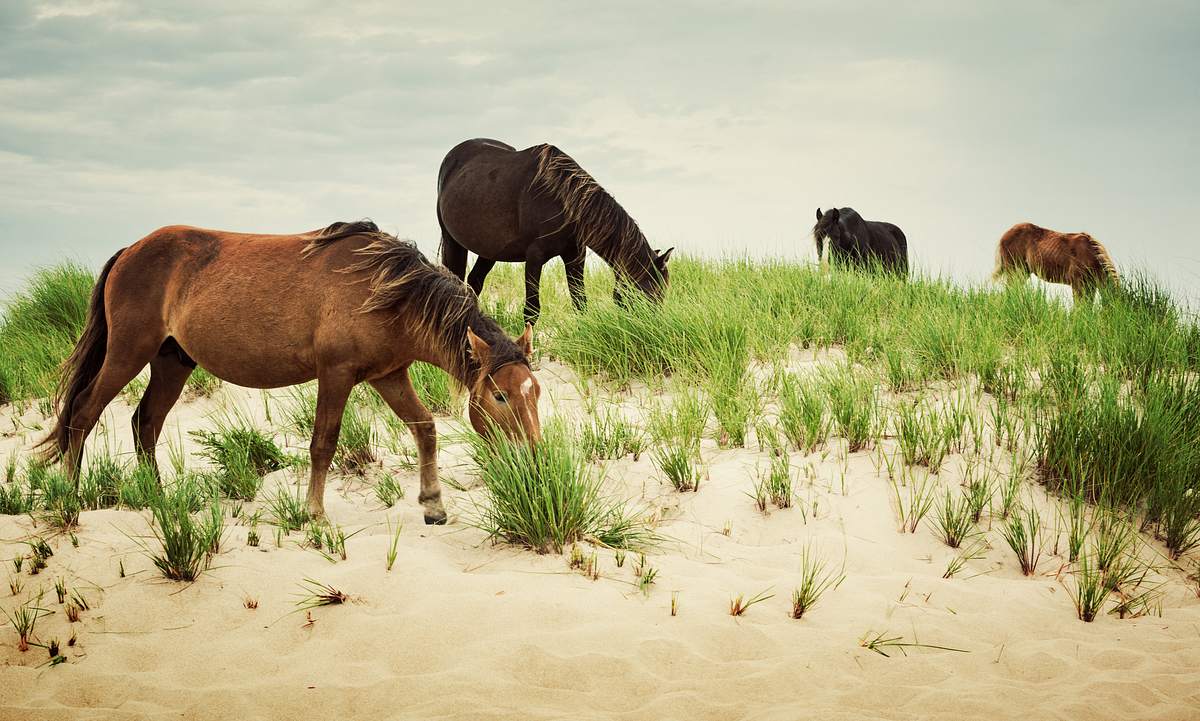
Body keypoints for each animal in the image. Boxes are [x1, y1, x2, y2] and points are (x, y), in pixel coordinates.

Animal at [36, 219, 544, 523]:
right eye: (500, 396)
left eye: (536, 392)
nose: (535, 459)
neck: (386, 290)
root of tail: (130, 251)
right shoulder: (336, 374)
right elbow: (323, 444)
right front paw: (314, 514)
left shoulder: (389, 375)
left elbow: (424, 428)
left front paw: (433, 504)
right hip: (127, 353)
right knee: (83, 413)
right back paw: (71, 499)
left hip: (170, 362)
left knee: (146, 423)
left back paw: (158, 499)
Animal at [436, 137, 676, 323]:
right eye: (649, 294)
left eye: (663, 293)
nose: (652, 329)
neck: (562, 199)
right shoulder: (534, 258)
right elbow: (532, 310)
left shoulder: (575, 256)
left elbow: (580, 303)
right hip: (452, 242)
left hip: (490, 250)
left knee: (474, 282)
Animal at [988, 219, 1118, 297]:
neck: (1089, 254)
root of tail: (1005, 235)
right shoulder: (1078, 284)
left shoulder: (1090, 285)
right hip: (1014, 271)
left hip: (1023, 272)